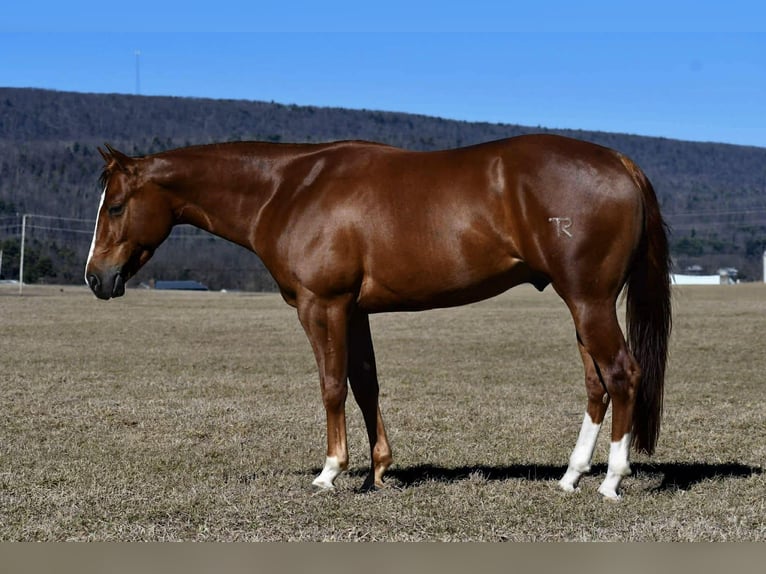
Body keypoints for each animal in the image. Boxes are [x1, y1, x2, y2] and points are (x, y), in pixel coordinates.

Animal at [85, 134, 671, 500]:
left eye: (115, 206)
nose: (96, 278)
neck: (287, 189)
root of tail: (619, 162)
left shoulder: (322, 305)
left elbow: (331, 386)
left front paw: (330, 471)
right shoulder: (354, 311)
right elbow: (365, 384)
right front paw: (379, 471)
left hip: (589, 300)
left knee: (623, 374)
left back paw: (611, 481)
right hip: (582, 305)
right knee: (596, 384)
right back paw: (571, 476)